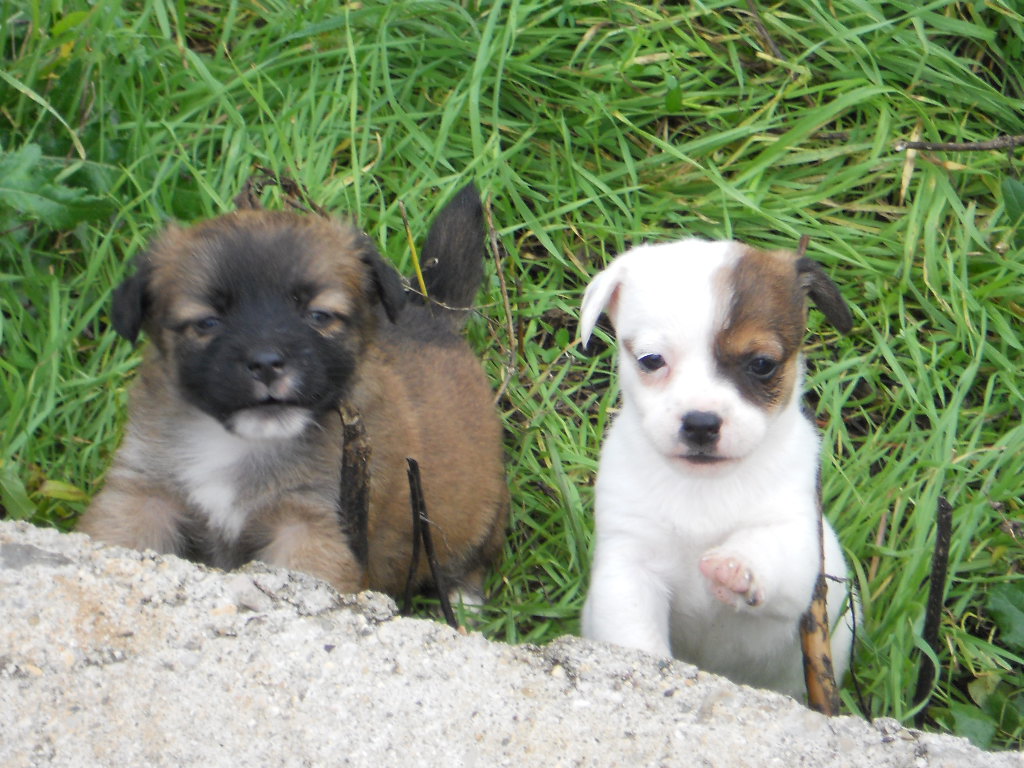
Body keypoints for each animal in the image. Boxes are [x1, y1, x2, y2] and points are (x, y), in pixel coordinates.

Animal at [79, 185, 507, 602]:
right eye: (207, 322)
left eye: (318, 316)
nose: (267, 363)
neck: (242, 445)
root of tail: (433, 314)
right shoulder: (143, 494)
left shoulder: (313, 526)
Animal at [585, 239, 856, 696]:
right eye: (651, 360)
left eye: (762, 364)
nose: (700, 423)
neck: (703, 488)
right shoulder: (629, 567)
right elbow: (635, 638)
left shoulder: (801, 553)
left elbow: (769, 549)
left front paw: (736, 566)